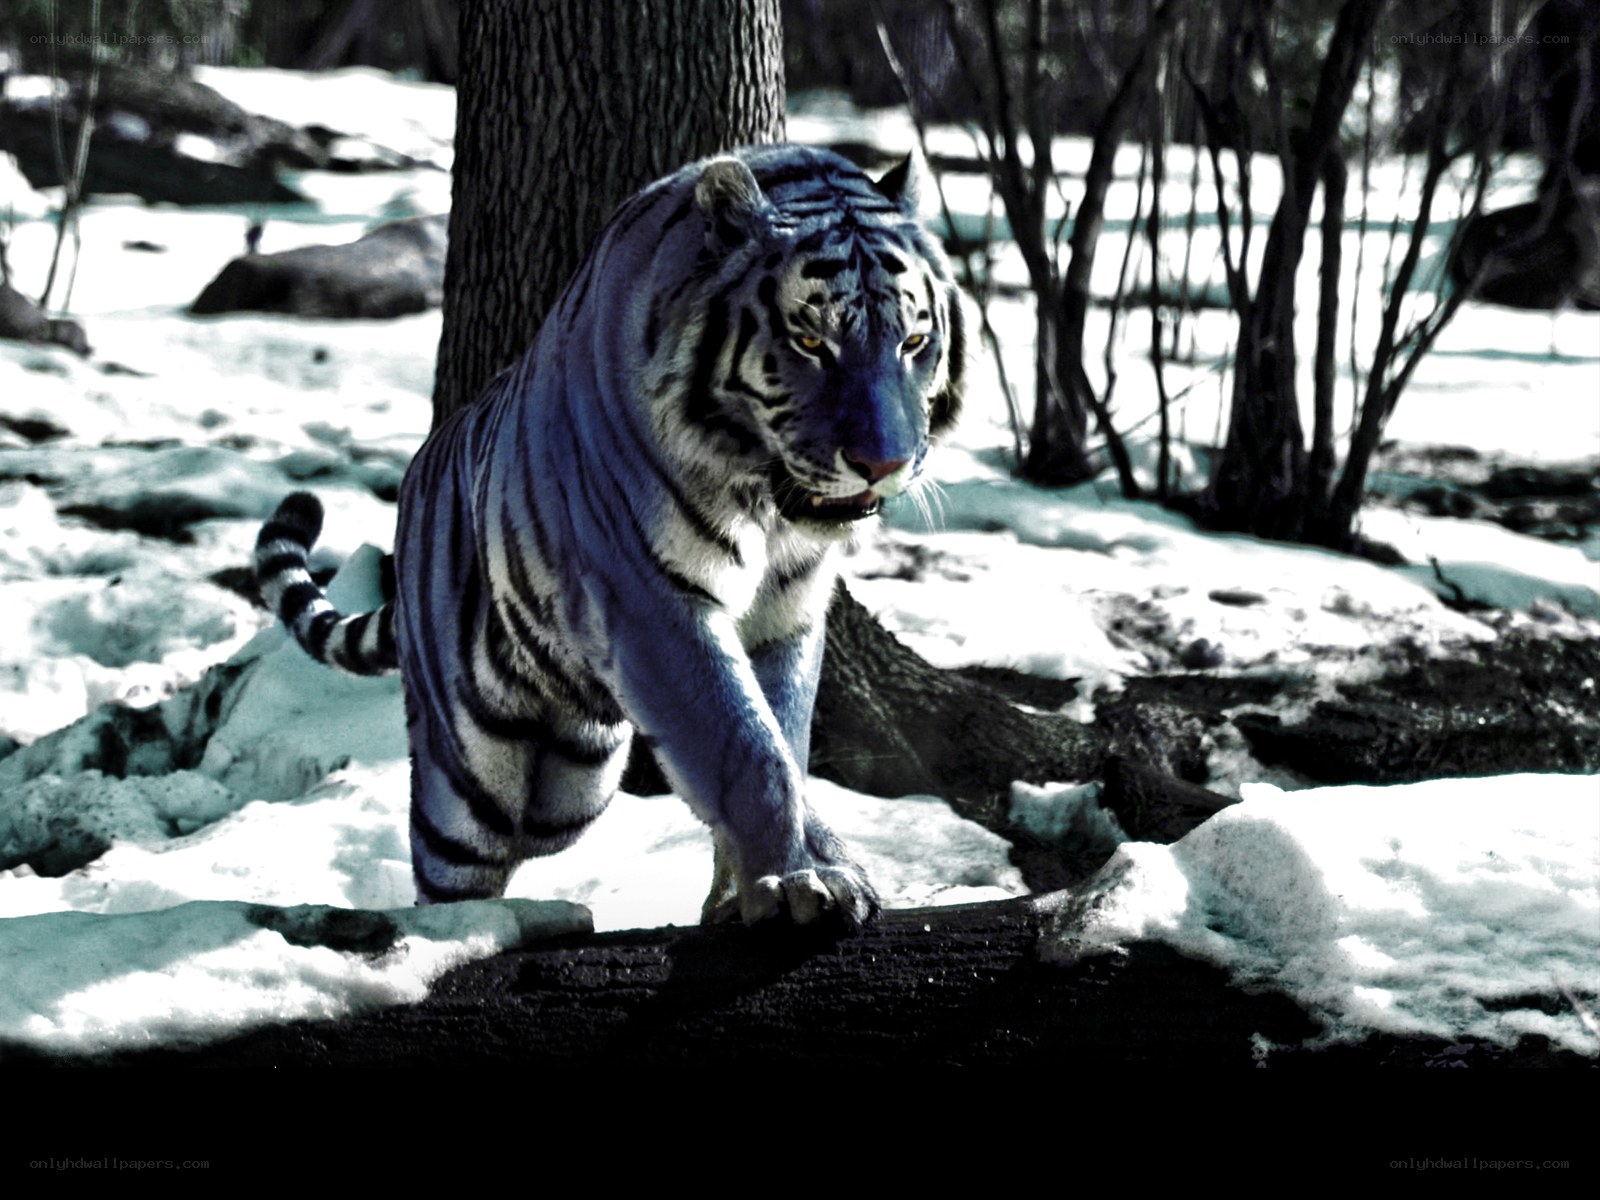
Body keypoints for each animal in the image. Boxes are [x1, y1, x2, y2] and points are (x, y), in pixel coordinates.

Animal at [255, 144, 966, 927]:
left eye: (914, 341)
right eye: (811, 340)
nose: (884, 465)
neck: (766, 499)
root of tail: (416, 474)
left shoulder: (789, 611)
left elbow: (784, 738)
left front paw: (757, 890)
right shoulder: (650, 600)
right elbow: (750, 751)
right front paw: (791, 883)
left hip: (575, 779)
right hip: (472, 781)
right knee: (450, 863)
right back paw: (456, 931)